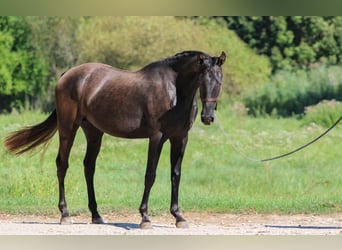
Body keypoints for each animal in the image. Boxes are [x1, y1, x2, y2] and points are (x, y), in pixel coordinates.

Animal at [4, 50, 227, 229]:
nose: (208, 117)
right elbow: (150, 175)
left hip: (94, 133)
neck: (173, 91)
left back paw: (96, 215)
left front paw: (179, 217)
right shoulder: (156, 138)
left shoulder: (180, 139)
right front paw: (145, 217)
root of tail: (66, 75)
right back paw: (65, 214)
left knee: (88, 167)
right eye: (203, 80)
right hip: (68, 129)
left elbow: (176, 175)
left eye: (219, 81)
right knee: (62, 165)